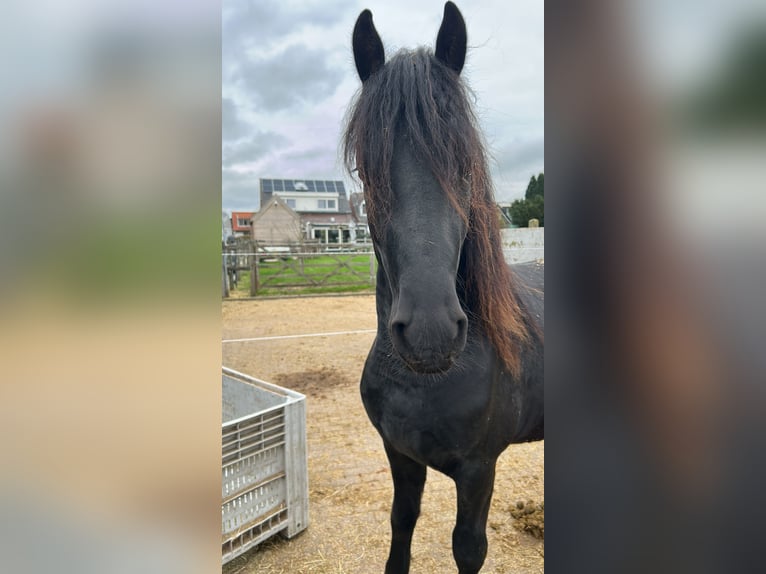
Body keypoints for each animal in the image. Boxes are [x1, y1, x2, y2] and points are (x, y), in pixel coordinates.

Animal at [343, 3, 544, 573]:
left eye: (464, 164)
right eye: (366, 166)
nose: (430, 332)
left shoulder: (478, 471)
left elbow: (467, 547)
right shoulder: (400, 456)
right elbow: (401, 526)